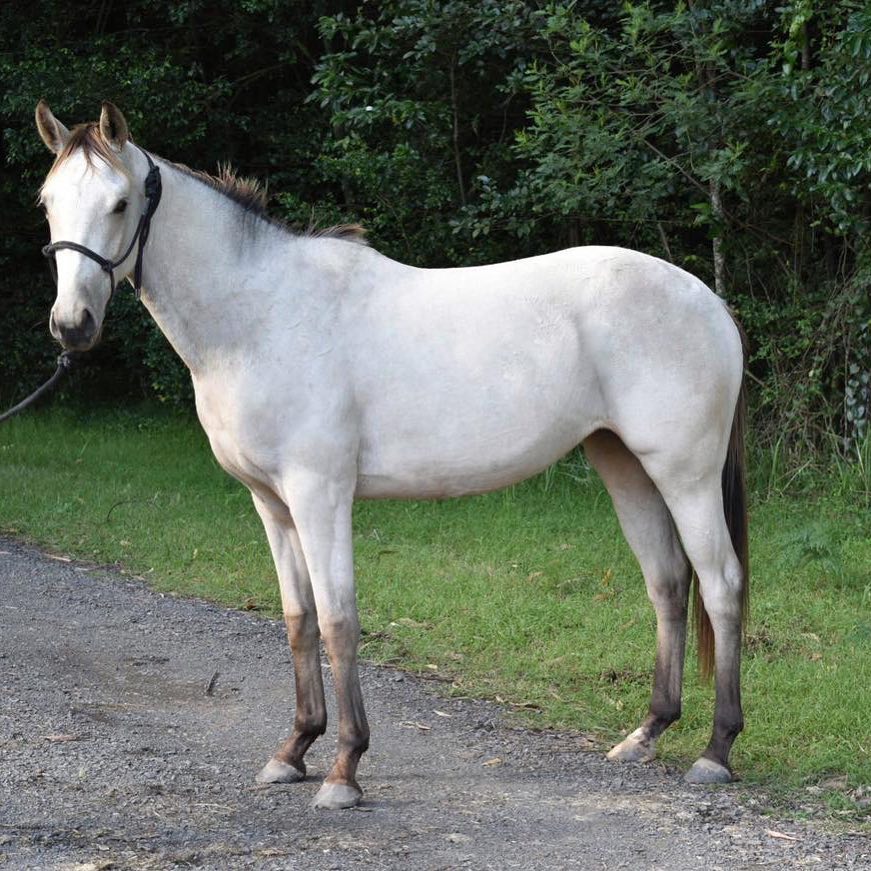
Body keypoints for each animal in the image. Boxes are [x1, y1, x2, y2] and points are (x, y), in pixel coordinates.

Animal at [35, 102, 748, 812]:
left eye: (121, 202)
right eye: (48, 202)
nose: (72, 326)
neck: (262, 314)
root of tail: (708, 301)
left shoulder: (320, 494)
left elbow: (338, 621)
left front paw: (344, 769)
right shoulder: (271, 503)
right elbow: (298, 620)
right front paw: (293, 750)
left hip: (685, 474)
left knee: (720, 584)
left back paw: (716, 751)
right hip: (623, 465)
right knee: (667, 582)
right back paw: (646, 734)